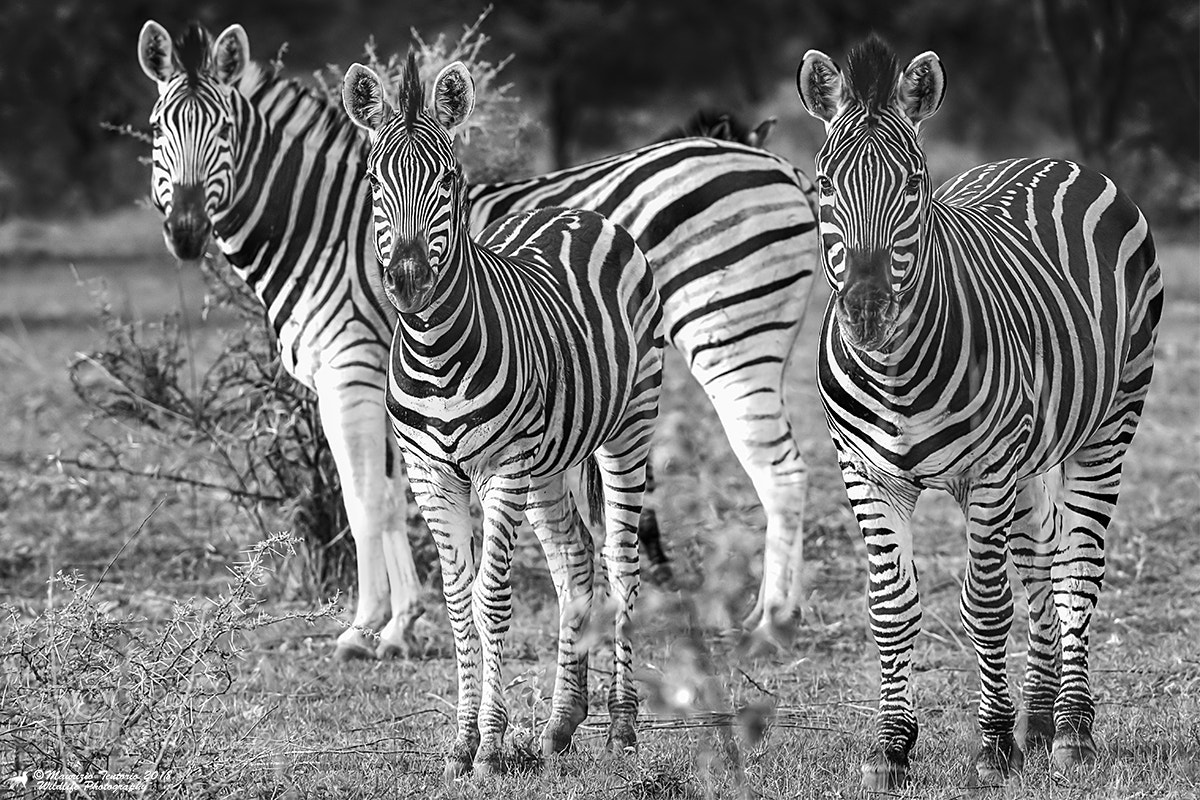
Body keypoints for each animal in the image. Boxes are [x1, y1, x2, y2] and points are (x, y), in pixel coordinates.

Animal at [136, 20, 819, 659]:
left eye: (224, 132)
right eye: (157, 131)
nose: (185, 233)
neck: (326, 229)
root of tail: (781, 168)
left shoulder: (349, 372)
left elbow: (364, 501)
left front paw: (364, 627)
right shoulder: (399, 393)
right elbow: (394, 498)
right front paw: (402, 623)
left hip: (730, 338)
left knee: (780, 470)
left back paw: (773, 622)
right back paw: (762, 616)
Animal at [343, 52, 662, 777]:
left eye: (448, 180)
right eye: (374, 181)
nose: (407, 282)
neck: (436, 353)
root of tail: (575, 212)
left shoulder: (503, 467)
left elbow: (491, 600)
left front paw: (489, 745)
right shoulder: (431, 475)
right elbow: (459, 603)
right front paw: (463, 742)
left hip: (628, 427)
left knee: (621, 560)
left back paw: (622, 728)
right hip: (549, 462)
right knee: (575, 562)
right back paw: (561, 724)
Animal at [796, 36, 1162, 789]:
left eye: (913, 186)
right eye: (824, 186)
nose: (867, 315)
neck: (896, 371)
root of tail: (1057, 160)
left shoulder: (987, 471)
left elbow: (987, 606)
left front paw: (992, 747)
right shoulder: (865, 473)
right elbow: (892, 608)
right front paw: (892, 749)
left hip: (1109, 426)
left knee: (1075, 571)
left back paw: (1071, 731)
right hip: (1031, 458)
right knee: (1040, 567)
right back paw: (1040, 720)